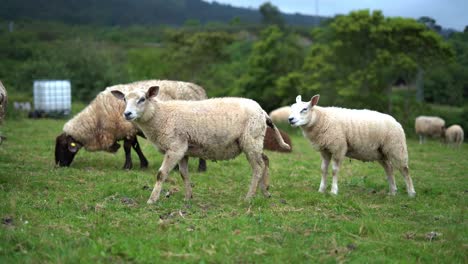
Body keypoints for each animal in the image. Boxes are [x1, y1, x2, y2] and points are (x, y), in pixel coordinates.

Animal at [54, 79, 207, 171]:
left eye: (63, 147)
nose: (59, 165)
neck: (96, 119)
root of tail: (198, 89)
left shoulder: (127, 129)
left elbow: (128, 148)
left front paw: (127, 166)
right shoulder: (130, 130)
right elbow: (136, 147)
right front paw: (143, 164)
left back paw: (202, 168)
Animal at [111, 85, 290, 203]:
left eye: (142, 99)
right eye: (124, 99)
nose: (127, 114)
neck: (161, 116)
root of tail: (262, 111)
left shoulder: (175, 147)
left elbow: (161, 174)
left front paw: (152, 200)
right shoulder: (183, 149)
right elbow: (184, 174)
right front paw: (188, 197)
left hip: (251, 139)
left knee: (258, 167)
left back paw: (249, 197)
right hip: (255, 140)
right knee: (265, 160)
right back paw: (265, 191)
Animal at [288, 94, 416, 196]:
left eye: (304, 109)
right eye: (291, 109)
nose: (290, 119)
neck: (322, 119)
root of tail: (396, 122)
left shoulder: (338, 147)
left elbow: (334, 170)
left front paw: (333, 191)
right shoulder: (325, 150)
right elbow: (323, 169)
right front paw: (321, 190)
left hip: (396, 147)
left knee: (405, 170)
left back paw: (411, 193)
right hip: (381, 152)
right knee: (389, 169)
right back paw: (392, 192)